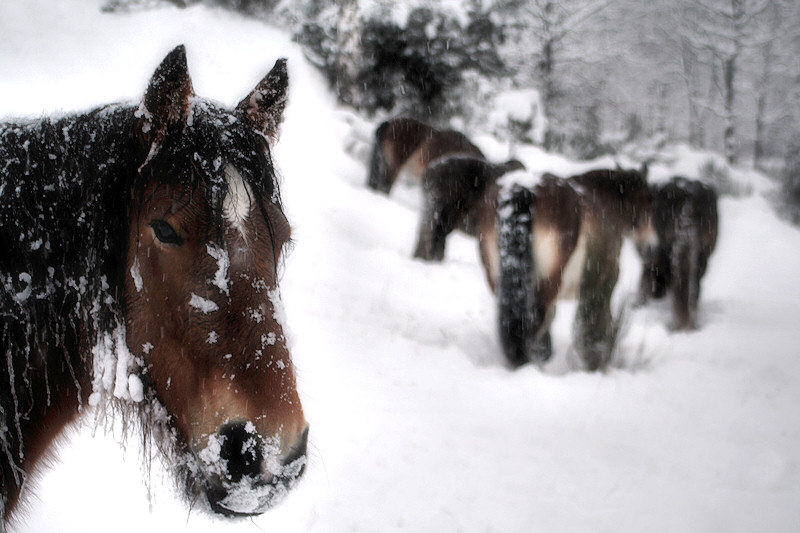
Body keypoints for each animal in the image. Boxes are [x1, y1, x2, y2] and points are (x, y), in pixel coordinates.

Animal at [496, 168, 660, 368]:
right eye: (648, 200)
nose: (651, 248)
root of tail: (529, 189)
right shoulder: (605, 280)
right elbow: (597, 318)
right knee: (537, 318)